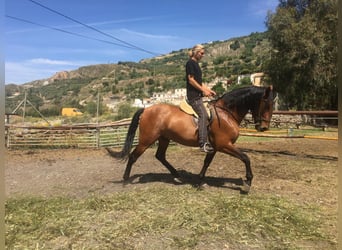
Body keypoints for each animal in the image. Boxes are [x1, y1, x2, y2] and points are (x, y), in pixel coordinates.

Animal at [107, 85, 276, 192]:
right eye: (266, 105)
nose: (263, 128)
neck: (226, 112)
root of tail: (147, 109)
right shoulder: (224, 145)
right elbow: (246, 157)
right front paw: (248, 182)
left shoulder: (214, 147)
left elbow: (207, 162)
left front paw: (200, 180)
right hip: (147, 139)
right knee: (133, 156)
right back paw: (125, 179)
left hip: (164, 138)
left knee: (160, 156)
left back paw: (177, 175)